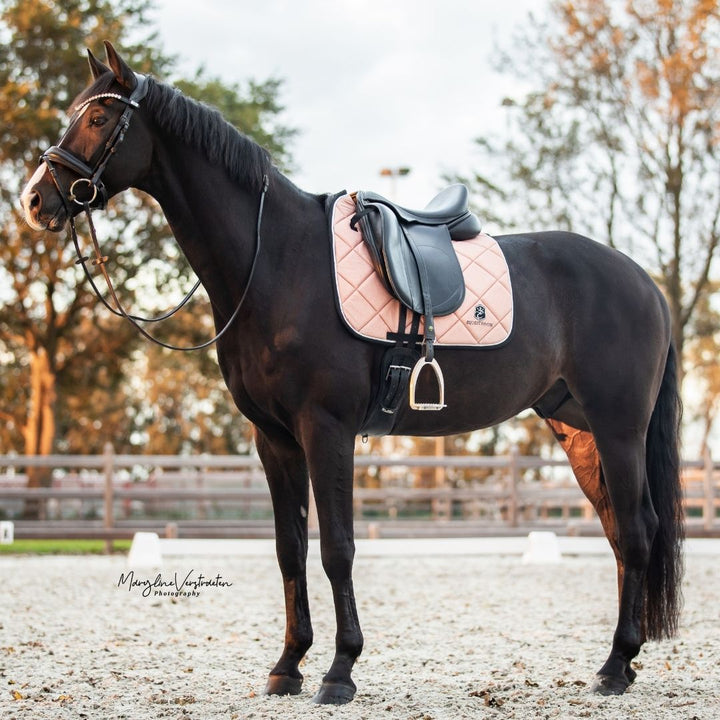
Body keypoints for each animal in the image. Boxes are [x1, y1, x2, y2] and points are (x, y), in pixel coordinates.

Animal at [19, 43, 684, 704]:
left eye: (99, 118)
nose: (33, 200)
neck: (276, 261)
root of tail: (643, 281)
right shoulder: (274, 440)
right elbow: (290, 550)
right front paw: (288, 665)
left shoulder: (327, 429)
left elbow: (337, 549)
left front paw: (340, 670)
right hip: (579, 432)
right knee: (621, 533)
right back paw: (621, 663)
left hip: (618, 430)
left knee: (636, 530)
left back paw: (615, 665)